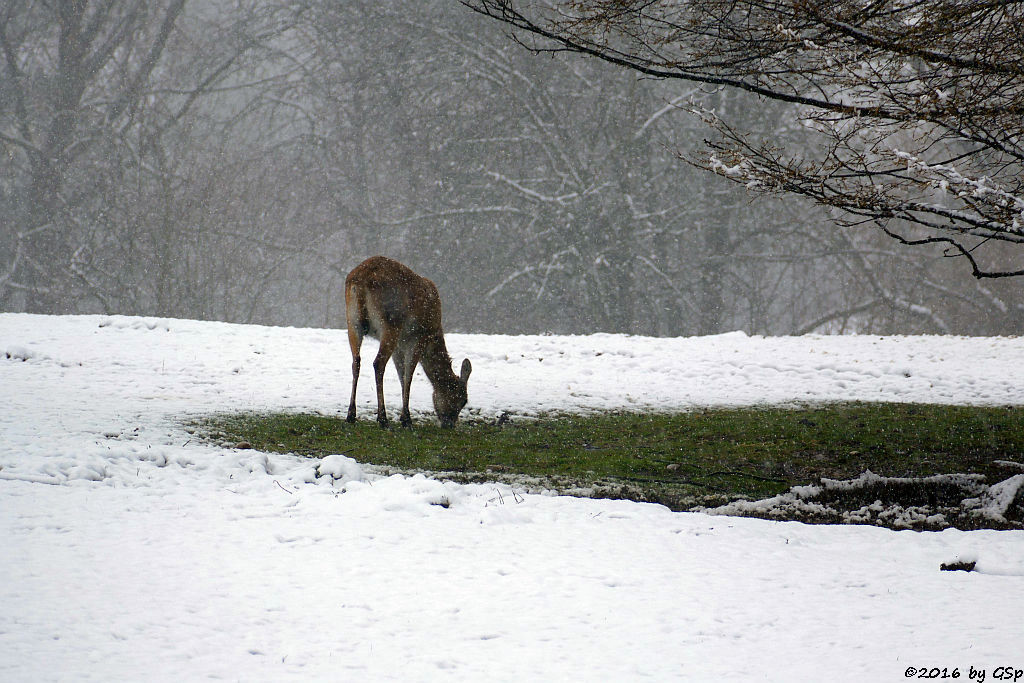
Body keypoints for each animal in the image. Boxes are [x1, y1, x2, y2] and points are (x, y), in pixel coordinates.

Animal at [344, 255, 471, 428]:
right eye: (462, 400)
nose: (450, 424)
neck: (434, 333)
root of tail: (361, 280)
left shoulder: (400, 346)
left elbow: (401, 374)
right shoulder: (417, 337)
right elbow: (408, 375)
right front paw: (406, 419)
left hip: (352, 322)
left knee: (356, 361)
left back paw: (351, 414)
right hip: (391, 323)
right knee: (378, 363)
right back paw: (383, 418)